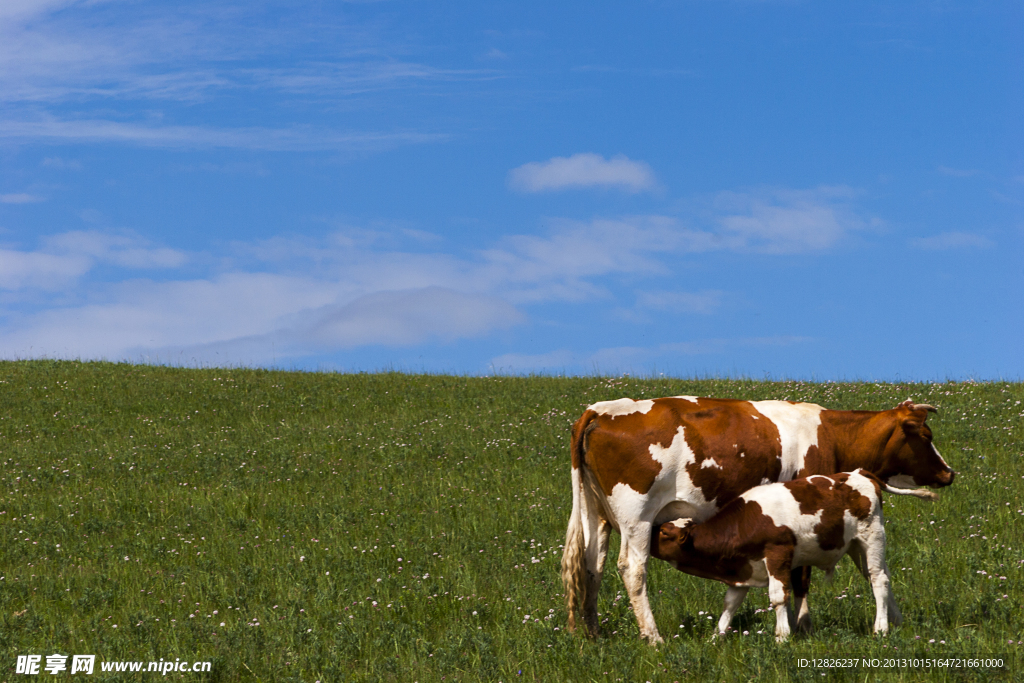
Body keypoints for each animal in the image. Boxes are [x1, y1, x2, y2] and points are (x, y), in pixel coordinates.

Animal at [647, 471, 937, 643]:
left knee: (878, 580)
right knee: (881, 577)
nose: (647, 533)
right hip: (856, 546)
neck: (744, 522)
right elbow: (730, 604)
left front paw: (782, 636)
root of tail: (859, 473)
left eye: (664, 532)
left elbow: (778, 597)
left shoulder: (778, 553)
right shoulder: (743, 568)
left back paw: (881, 628)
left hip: (872, 537)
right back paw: (895, 620)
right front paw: (715, 638)